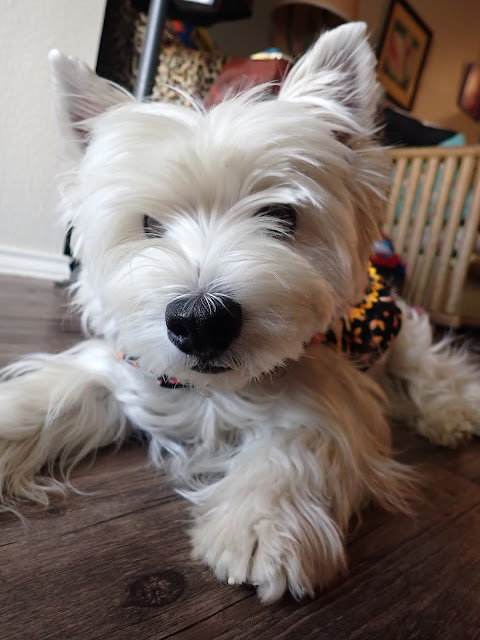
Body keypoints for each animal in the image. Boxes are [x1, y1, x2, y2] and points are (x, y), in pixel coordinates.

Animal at [1, 22, 479, 603]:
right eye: (149, 224)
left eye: (281, 215)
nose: (200, 321)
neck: (211, 391)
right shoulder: (120, 370)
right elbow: (38, 403)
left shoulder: (323, 391)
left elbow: (297, 444)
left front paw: (260, 529)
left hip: (400, 334)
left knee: (434, 367)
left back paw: (449, 416)